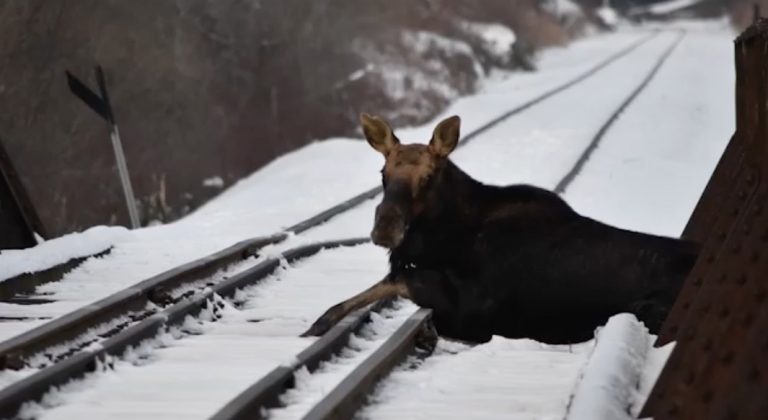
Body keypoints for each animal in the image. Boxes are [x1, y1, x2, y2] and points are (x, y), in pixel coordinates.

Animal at [301, 114, 699, 344]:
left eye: (428, 177)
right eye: (383, 173)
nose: (385, 229)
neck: (445, 238)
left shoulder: (473, 311)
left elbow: (396, 280)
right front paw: (316, 326)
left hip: (648, 308)